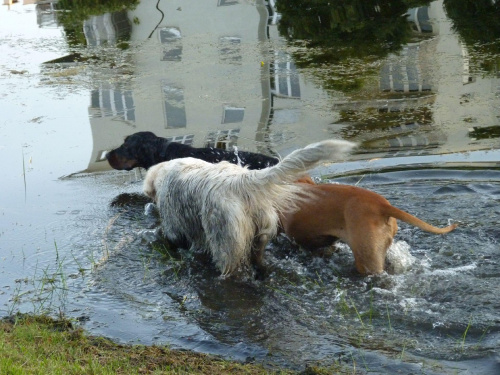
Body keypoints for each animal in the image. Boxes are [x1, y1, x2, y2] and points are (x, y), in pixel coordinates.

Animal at [145, 140, 356, 276]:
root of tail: (242, 181)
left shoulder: (174, 225)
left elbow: (173, 237)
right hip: (262, 233)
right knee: (259, 260)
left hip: (226, 242)